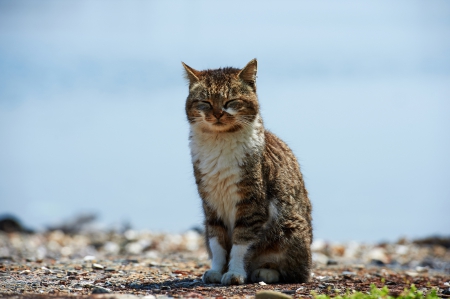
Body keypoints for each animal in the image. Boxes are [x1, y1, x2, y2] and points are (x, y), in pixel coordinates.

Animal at [181, 58, 312, 286]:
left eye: (231, 101)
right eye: (205, 102)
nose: (217, 114)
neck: (220, 142)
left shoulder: (251, 204)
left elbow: (241, 243)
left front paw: (234, 272)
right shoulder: (211, 204)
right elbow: (217, 242)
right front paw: (217, 270)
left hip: (290, 231)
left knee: (298, 272)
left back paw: (265, 272)